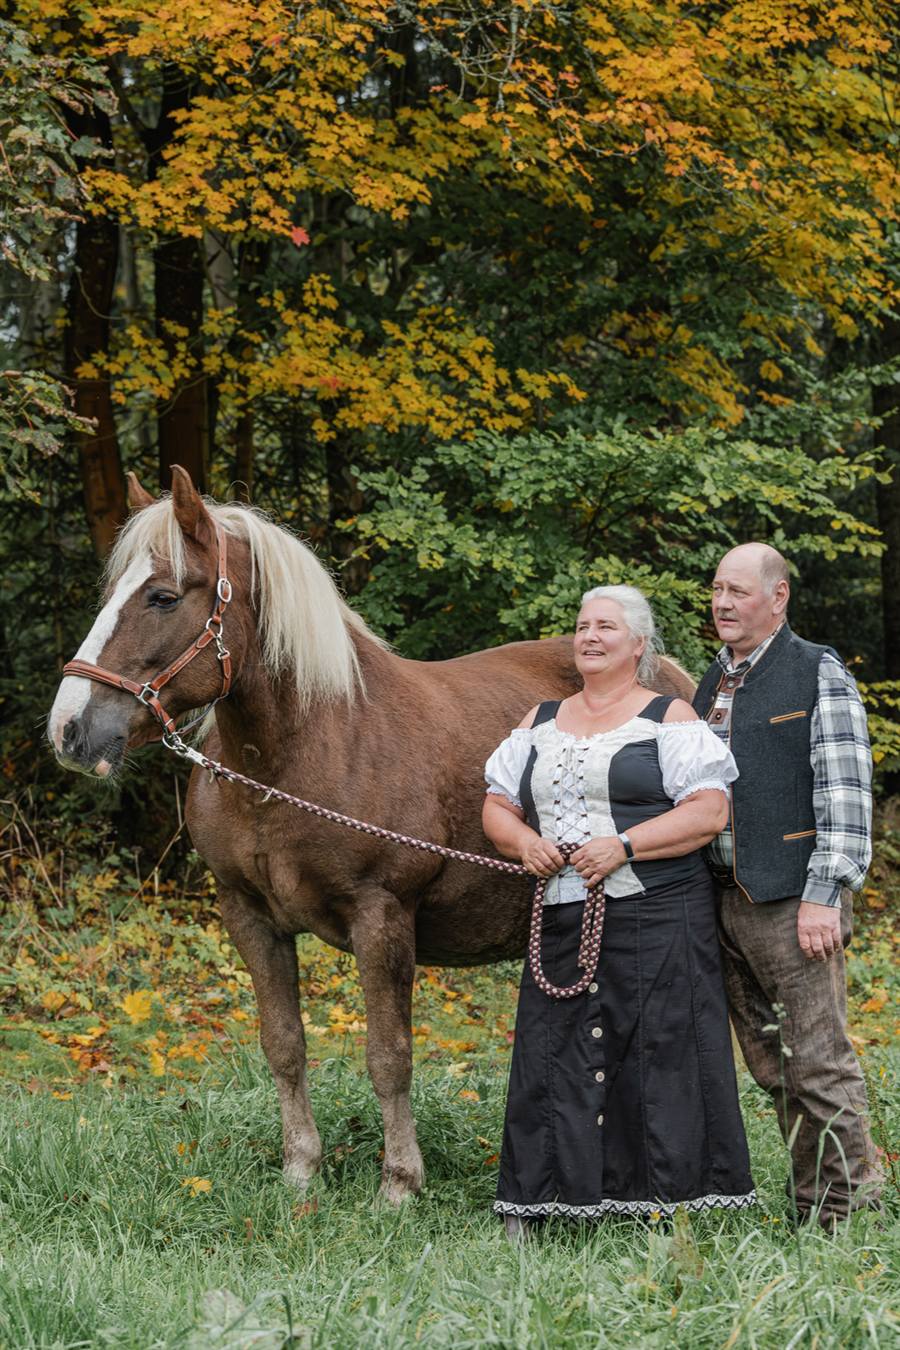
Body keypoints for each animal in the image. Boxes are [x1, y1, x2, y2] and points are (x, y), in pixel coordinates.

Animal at [48, 466, 695, 1203]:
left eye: (161, 596)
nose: (70, 730)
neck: (311, 748)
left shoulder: (380, 916)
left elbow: (389, 1055)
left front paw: (399, 1183)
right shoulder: (250, 917)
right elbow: (284, 1045)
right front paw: (301, 1169)